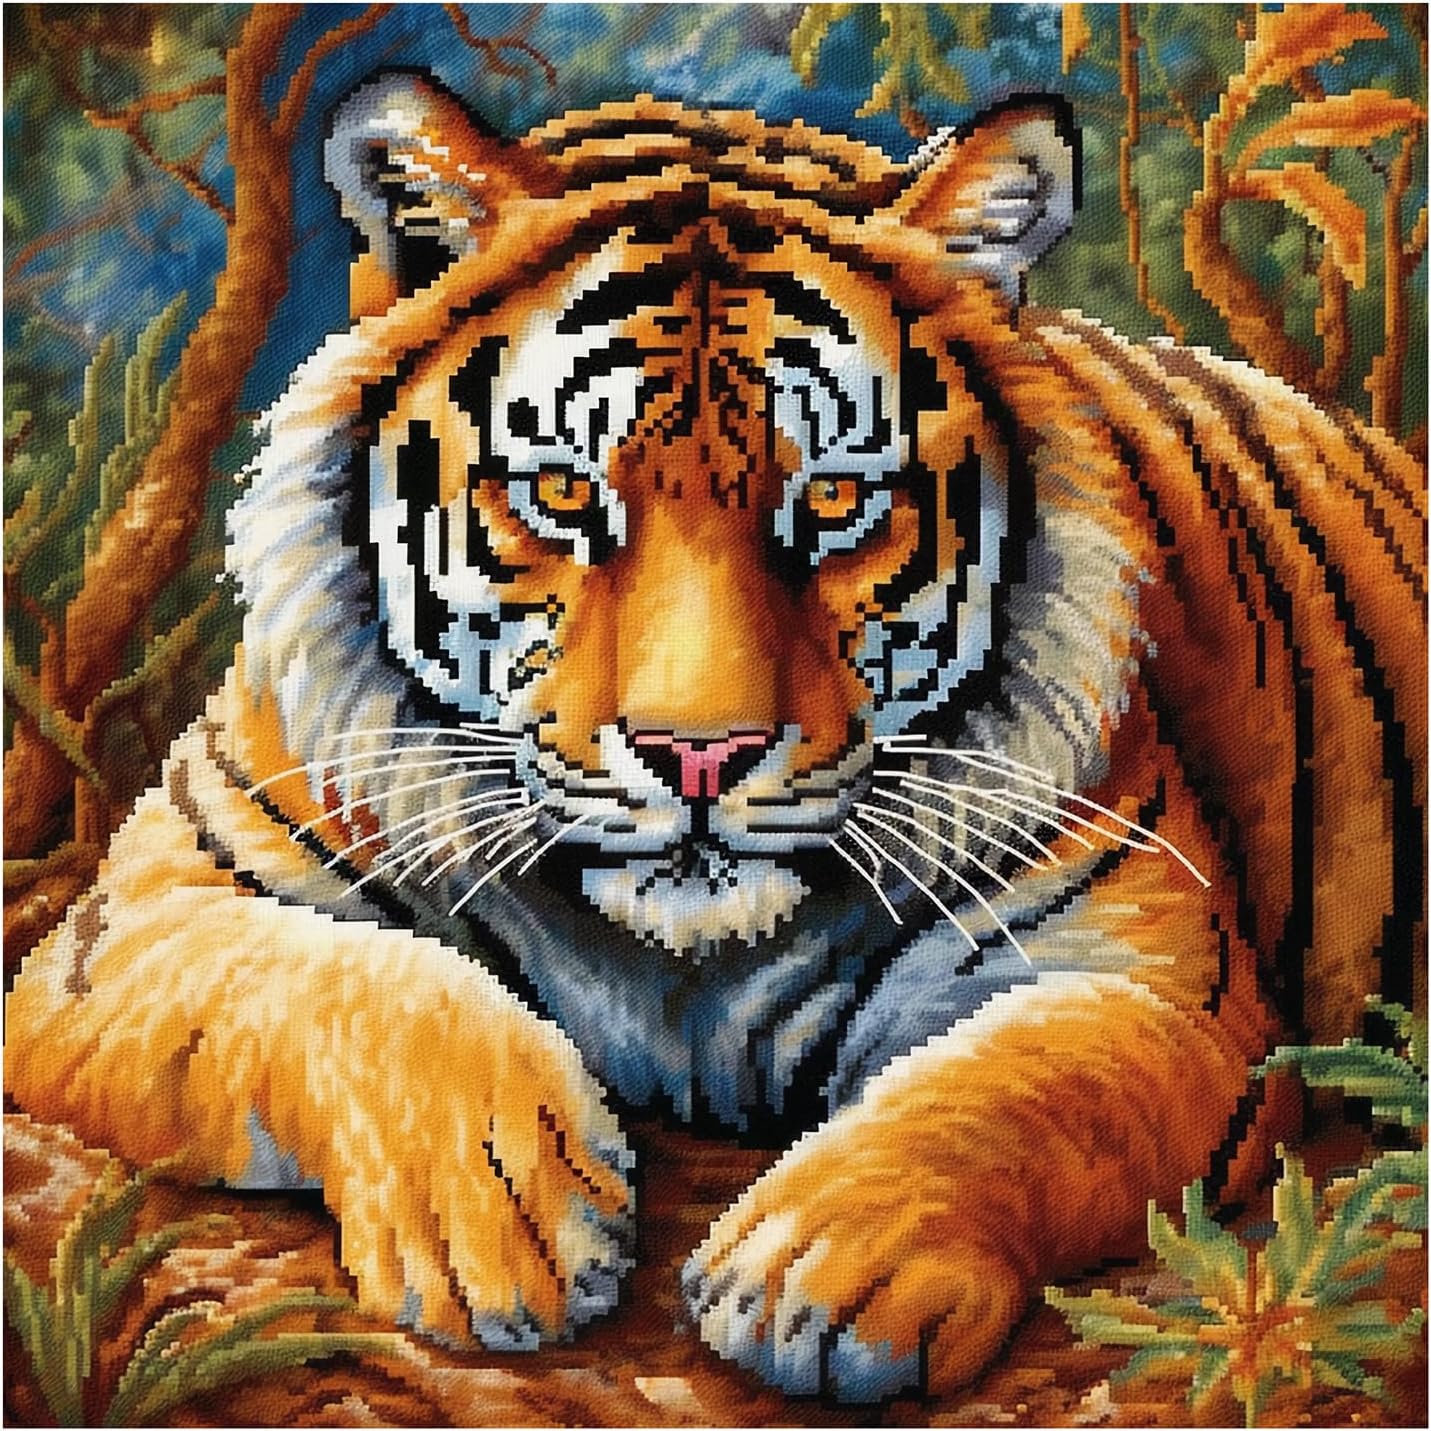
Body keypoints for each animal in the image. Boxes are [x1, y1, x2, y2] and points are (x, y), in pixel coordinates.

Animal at [7, 72, 1425, 1402]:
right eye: (563, 493)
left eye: (839, 501)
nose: (701, 756)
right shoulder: (142, 915)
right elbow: (358, 986)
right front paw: (503, 1212)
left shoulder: (1165, 990)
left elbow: (1015, 1087)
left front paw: (820, 1269)